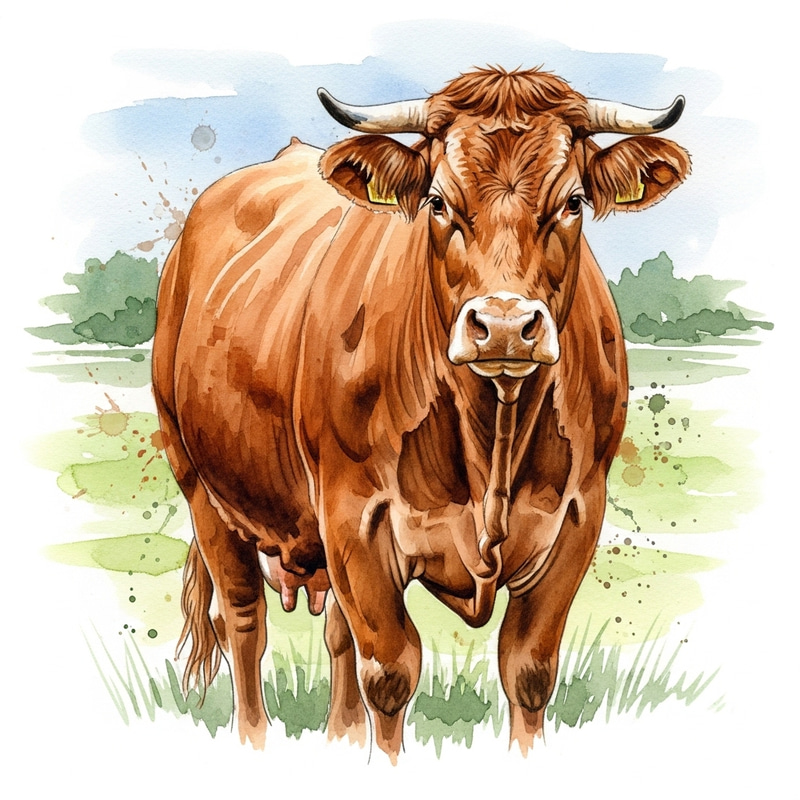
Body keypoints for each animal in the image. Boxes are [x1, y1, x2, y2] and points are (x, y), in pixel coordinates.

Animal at [152, 66, 690, 761]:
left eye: (572, 202)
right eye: (437, 202)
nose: (505, 327)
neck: (491, 436)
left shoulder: (576, 518)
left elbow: (528, 671)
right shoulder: (355, 517)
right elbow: (391, 673)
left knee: (336, 636)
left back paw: (341, 737)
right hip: (201, 484)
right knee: (243, 621)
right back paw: (256, 740)